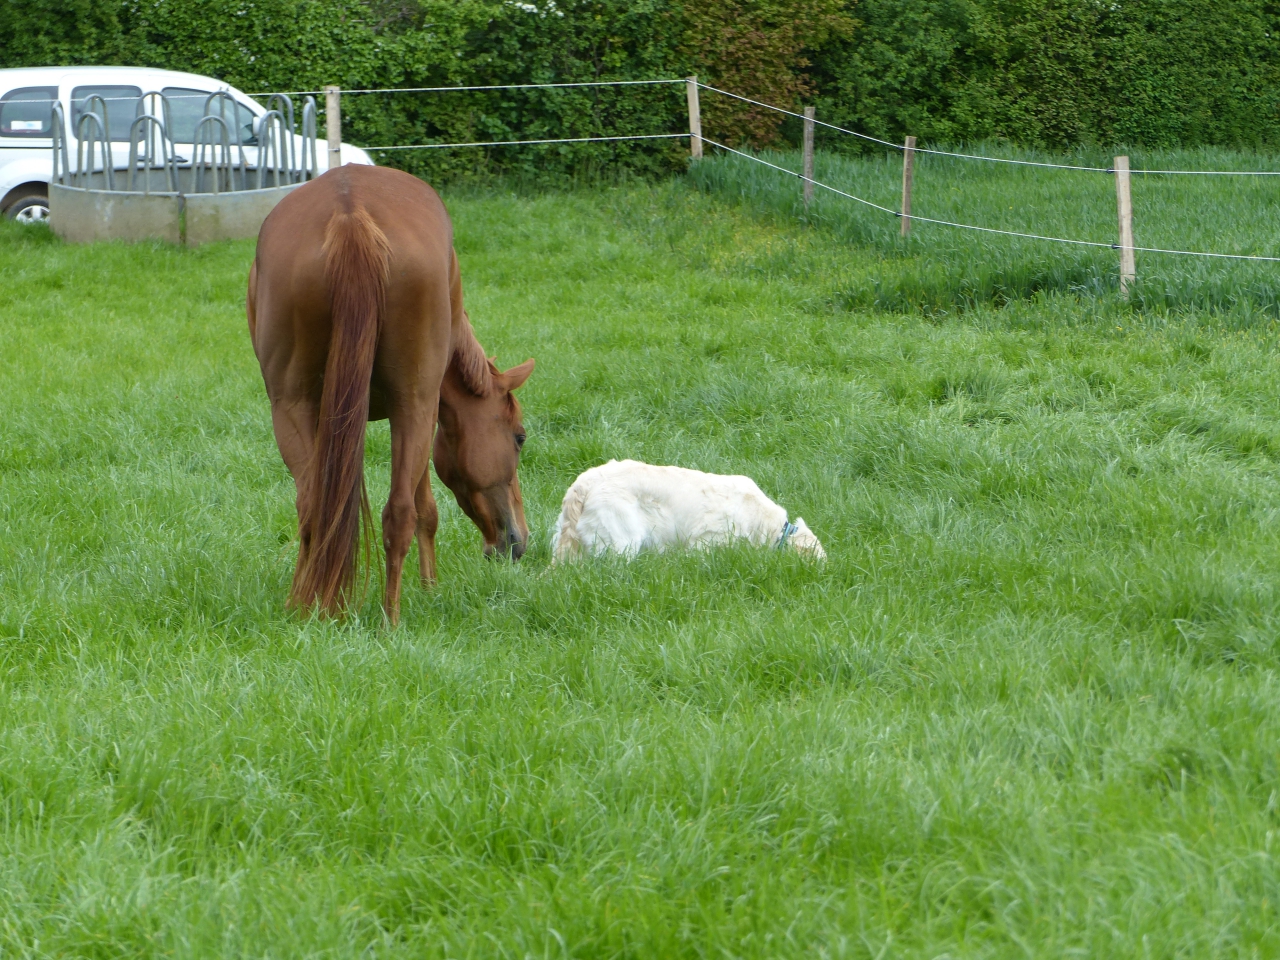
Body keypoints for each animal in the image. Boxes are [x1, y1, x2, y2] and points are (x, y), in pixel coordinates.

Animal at [247, 164, 534, 624]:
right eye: (519, 438)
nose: (518, 540)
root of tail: (350, 214)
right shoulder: (427, 408)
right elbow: (426, 508)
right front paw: (430, 588)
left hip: (292, 407)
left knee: (313, 508)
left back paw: (306, 606)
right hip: (412, 405)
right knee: (399, 512)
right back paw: (390, 619)